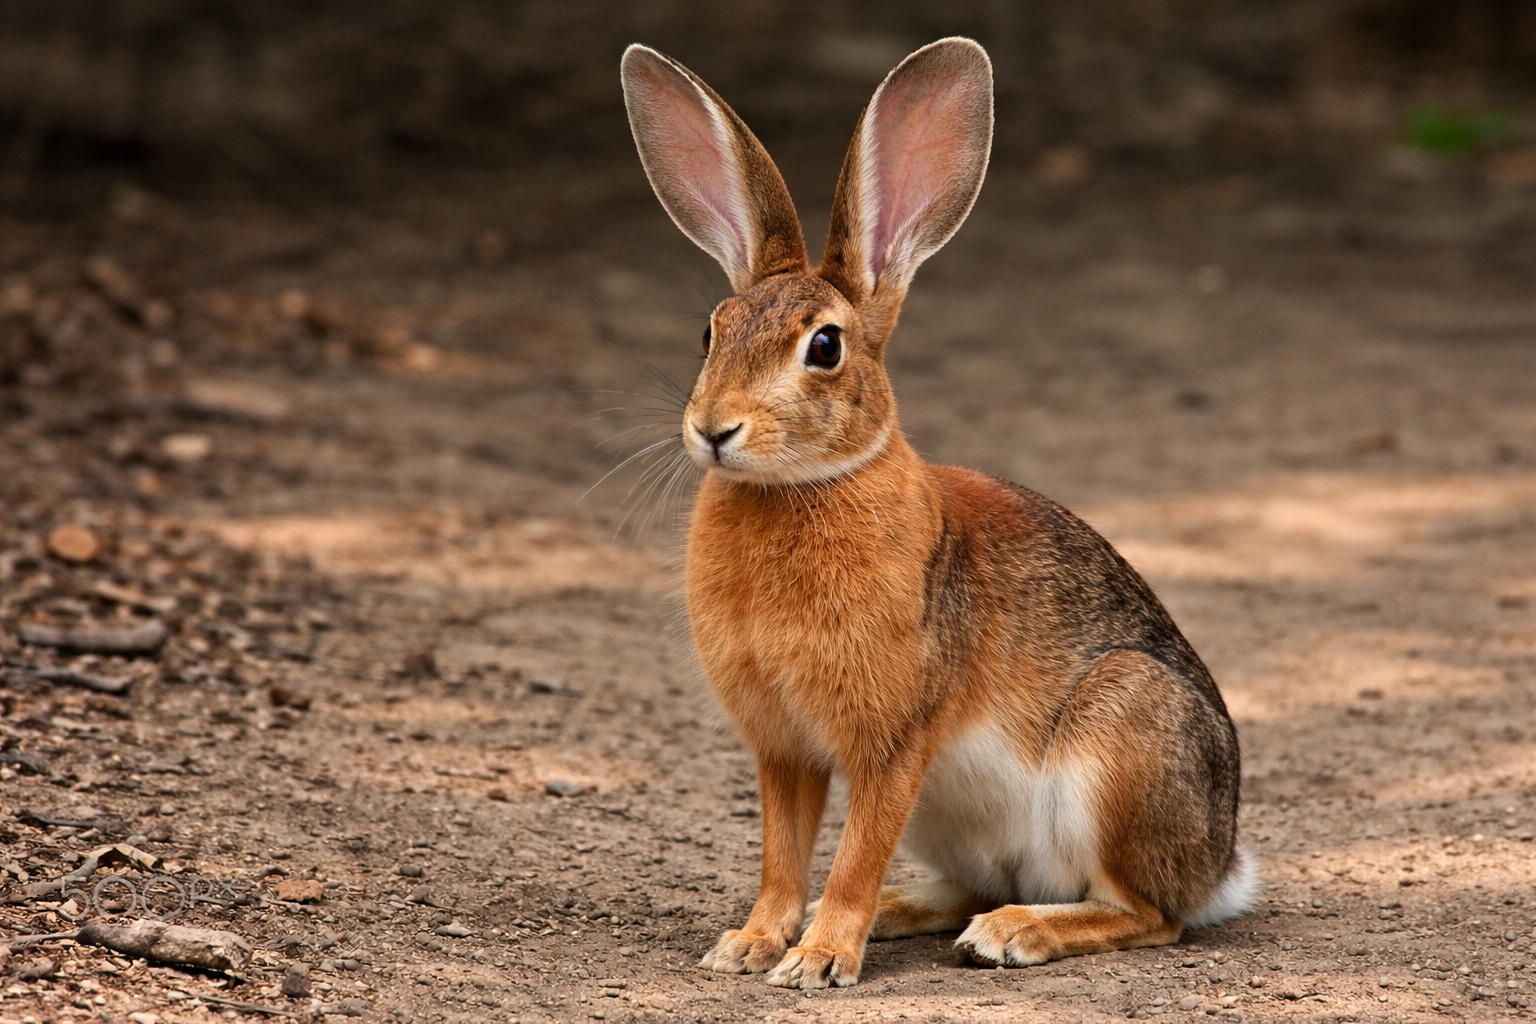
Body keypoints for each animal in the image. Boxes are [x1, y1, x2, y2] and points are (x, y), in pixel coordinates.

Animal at [619, 37, 1256, 990]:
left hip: (1123, 739)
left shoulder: (895, 740)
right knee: (976, 885)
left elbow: (854, 849)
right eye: (710, 332)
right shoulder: (783, 748)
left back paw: (1012, 934)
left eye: (825, 346)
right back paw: (907, 912)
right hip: (959, 820)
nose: (714, 429)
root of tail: (1220, 865)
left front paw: (818, 961)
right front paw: (753, 943)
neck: (807, 485)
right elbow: (782, 856)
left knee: (1148, 916)